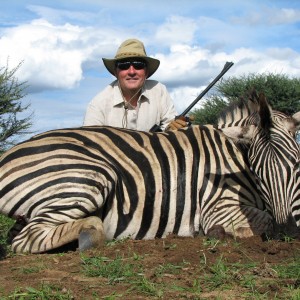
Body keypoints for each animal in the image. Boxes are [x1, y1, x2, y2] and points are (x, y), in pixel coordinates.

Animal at [0, 91, 298, 253]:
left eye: (296, 165)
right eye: (258, 173)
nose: (287, 233)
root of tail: (6, 155)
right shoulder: (218, 207)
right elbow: (262, 222)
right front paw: (218, 234)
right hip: (90, 178)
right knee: (29, 237)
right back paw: (90, 233)